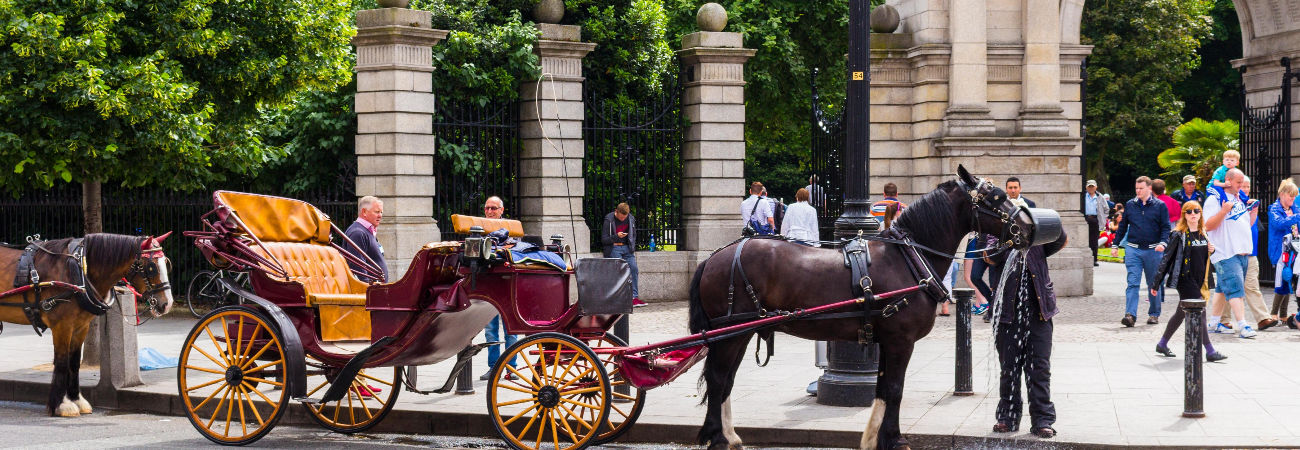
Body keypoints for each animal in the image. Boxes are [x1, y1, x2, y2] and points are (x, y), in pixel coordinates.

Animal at [0, 234, 174, 416]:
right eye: (152, 267)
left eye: (166, 263)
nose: (167, 304)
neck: (79, 273)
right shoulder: (62, 326)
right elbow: (62, 362)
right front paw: (62, 404)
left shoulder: (81, 327)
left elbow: (74, 363)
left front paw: (76, 399)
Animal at [691, 165, 1034, 450]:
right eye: (998, 196)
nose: (1030, 227)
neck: (908, 257)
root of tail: (715, 257)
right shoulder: (900, 341)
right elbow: (894, 389)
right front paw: (893, 439)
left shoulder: (887, 342)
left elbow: (883, 388)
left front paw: (876, 437)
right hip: (731, 333)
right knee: (718, 379)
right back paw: (717, 437)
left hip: (740, 333)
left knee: (725, 380)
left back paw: (727, 435)